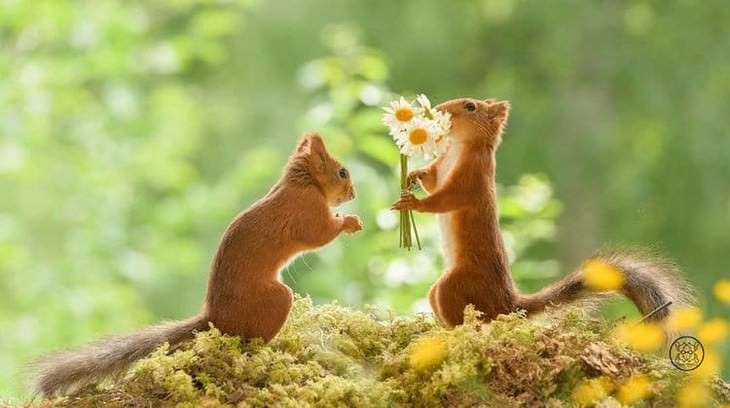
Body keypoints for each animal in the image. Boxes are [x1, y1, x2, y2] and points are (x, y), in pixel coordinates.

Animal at [31, 133, 362, 396]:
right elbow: (320, 235)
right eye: (342, 172)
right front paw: (349, 221)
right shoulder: (307, 212)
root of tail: (214, 317)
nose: (353, 194)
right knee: (251, 340)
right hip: (276, 299)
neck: (303, 184)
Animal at [390, 99, 692, 332]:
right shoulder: (442, 167)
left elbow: (445, 199)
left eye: (470, 106)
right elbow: (432, 179)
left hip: (458, 283)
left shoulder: (471, 178)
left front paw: (412, 202)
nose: (438, 110)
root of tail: (506, 304)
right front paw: (413, 175)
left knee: (467, 315)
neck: (458, 148)